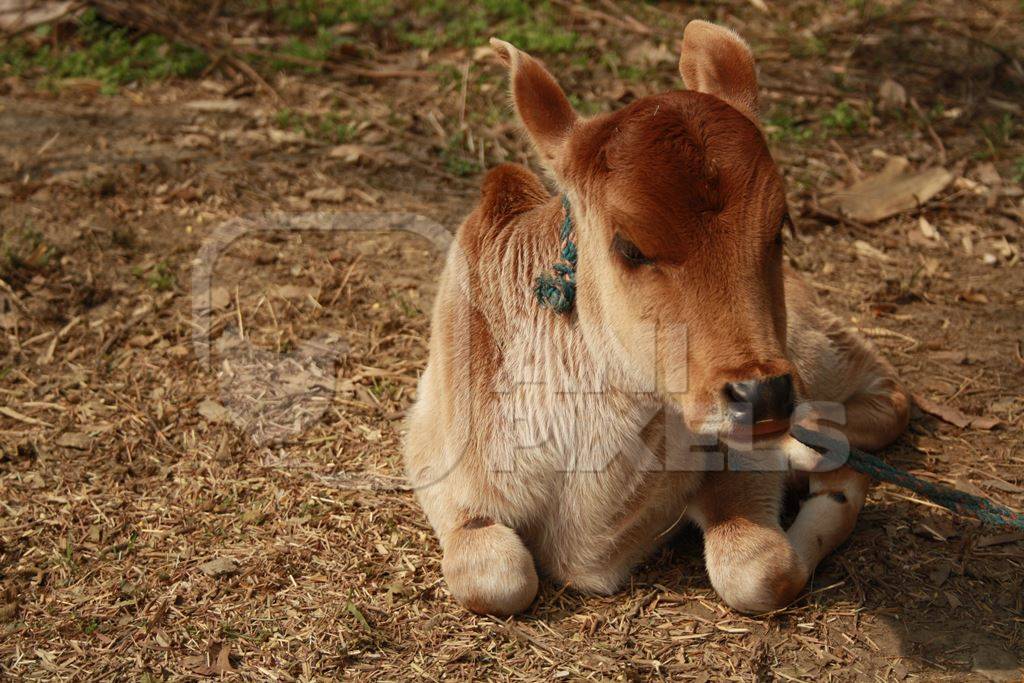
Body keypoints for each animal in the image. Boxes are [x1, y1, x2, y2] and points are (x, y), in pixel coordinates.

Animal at [403, 21, 909, 618]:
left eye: (780, 226)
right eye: (630, 246)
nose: (762, 396)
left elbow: (761, 570)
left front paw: (835, 489)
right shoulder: (437, 464)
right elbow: (496, 577)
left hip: (810, 347)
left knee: (888, 396)